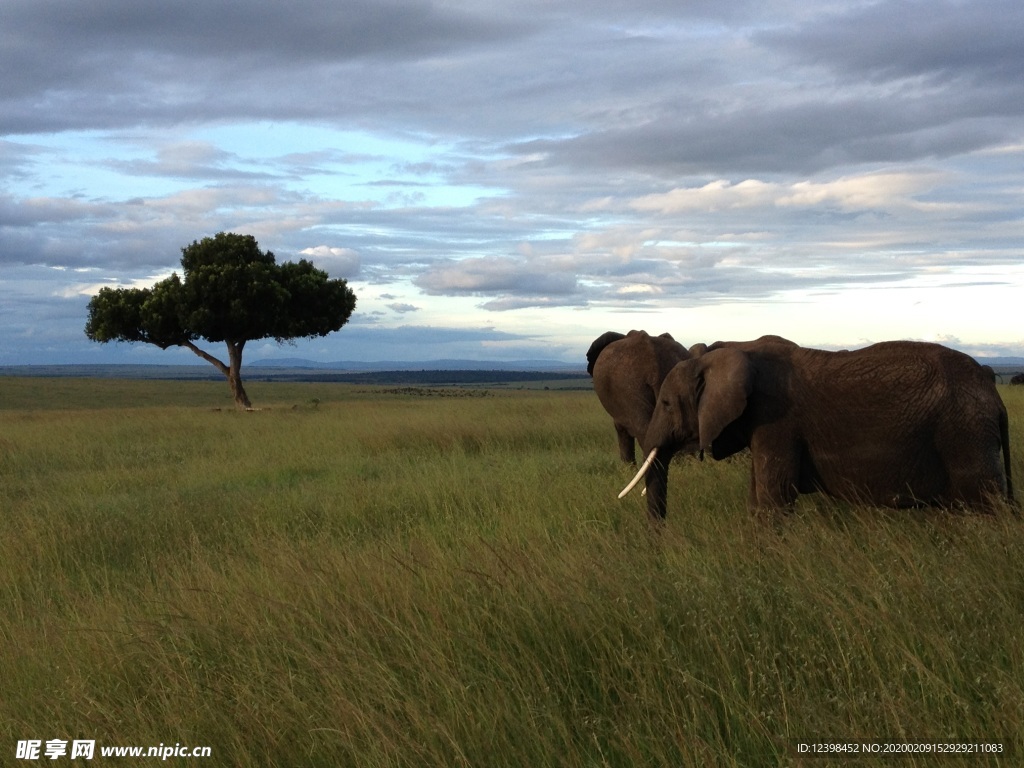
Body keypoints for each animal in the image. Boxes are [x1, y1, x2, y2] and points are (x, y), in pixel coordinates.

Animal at [618, 335, 1011, 518]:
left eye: (666, 404)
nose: (658, 543)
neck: (734, 351)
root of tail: (994, 392)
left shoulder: (777, 421)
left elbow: (774, 499)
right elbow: (758, 497)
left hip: (964, 434)